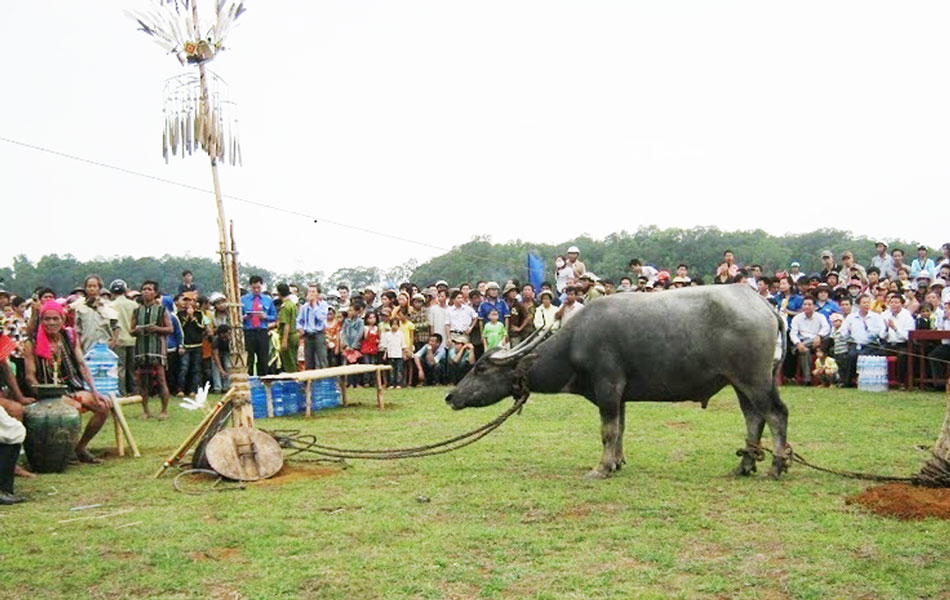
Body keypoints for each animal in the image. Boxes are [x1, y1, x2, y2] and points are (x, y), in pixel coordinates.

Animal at [446, 284, 788, 478]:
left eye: (480, 368)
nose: (451, 396)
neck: (575, 343)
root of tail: (763, 305)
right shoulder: (620, 395)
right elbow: (621, 429)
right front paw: (618, 462)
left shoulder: (608, 389)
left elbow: (607, 431)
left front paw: (601, 467)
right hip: (740, 382)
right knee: (753, 418)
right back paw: (745, 465)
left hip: (753, 379)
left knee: (775, 415)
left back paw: (776, 466)